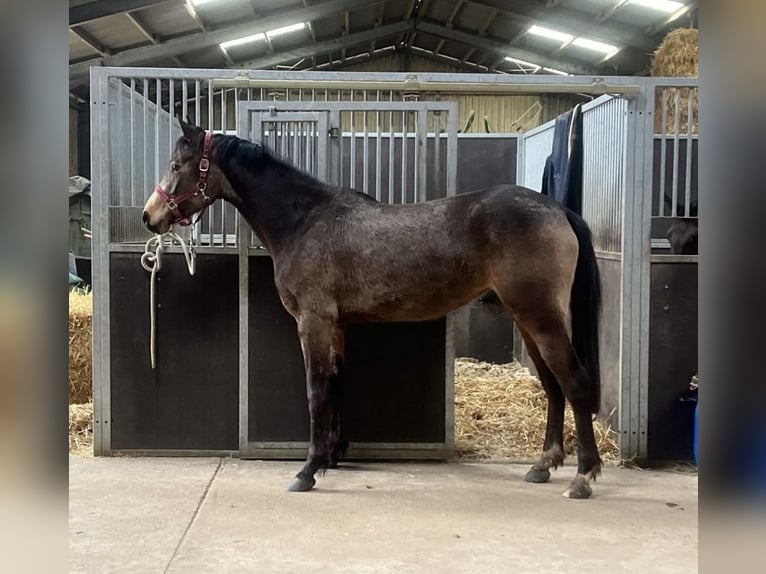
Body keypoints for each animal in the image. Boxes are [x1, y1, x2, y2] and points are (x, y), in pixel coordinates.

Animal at [146, 118, 608, 500]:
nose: (150, 217)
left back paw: (583, 477)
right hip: (529, 321)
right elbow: (337, 385)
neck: (305, 221)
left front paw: (307, 471)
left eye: (176, 164)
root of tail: (557, 209)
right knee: (552, 386)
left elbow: (316, 393)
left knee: (575, 382)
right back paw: (543, 465)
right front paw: (331, 456)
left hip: (541, 318)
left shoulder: (313, 322)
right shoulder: (336, 326)